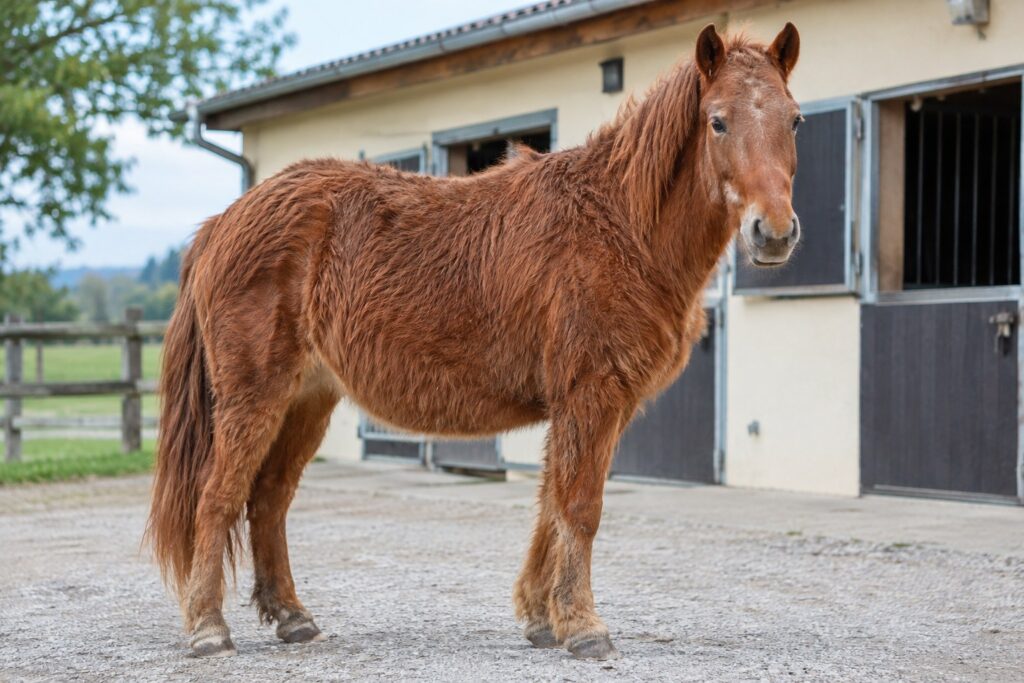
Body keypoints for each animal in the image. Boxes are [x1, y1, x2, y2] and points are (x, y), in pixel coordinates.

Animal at [146, 23, 802, 660]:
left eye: (794, 119)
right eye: (717, 120)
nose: (773, 232)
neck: (619, 226)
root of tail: (225, 220)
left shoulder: (585, 406)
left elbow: (551, 506)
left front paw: (541, 617)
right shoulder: (590, 396)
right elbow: (580, 508)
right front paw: (583, 626)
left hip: (307, 399)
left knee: (269, 499)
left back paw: (292, 617)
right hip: (254, 397)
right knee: (218, 496)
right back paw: (207, 628)